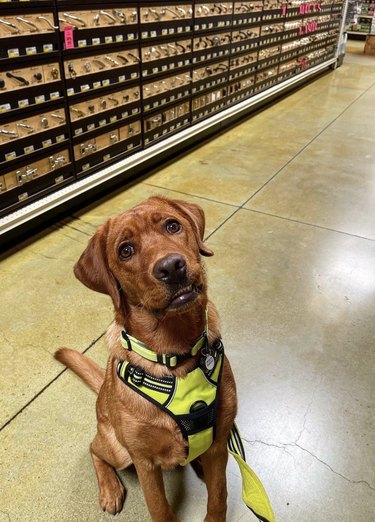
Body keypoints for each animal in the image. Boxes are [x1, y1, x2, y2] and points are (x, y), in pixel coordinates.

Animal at [55, 196, 238, 520]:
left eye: (173, 226)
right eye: (125, 250)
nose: (172, 267)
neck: (175, 352)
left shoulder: (218, 444)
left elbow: (219, 495)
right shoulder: (144, 462)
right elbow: (159, 508)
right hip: (118, 450)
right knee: (94, 449)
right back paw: (110, 488)